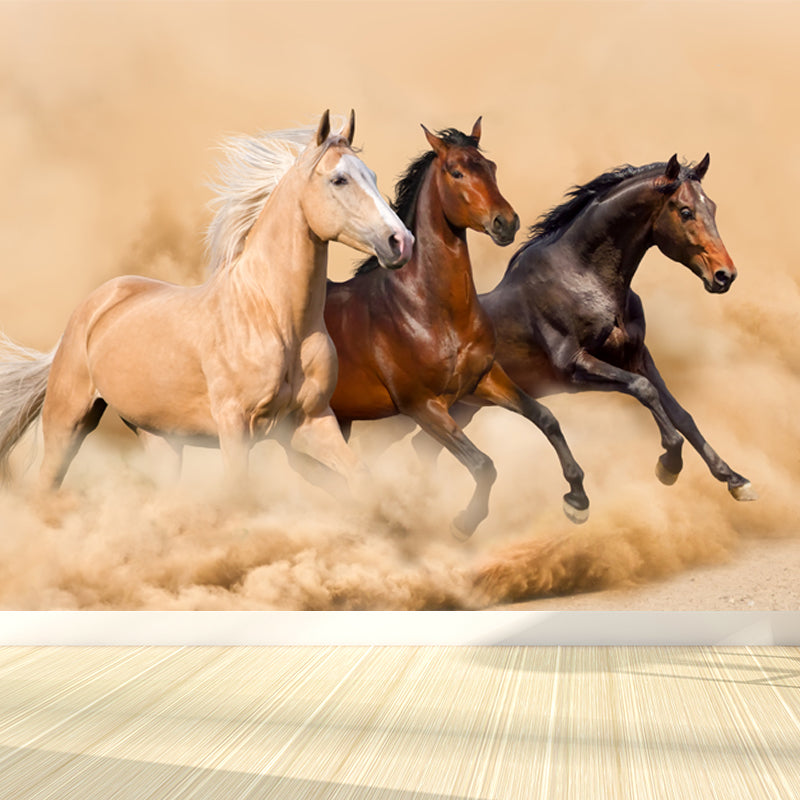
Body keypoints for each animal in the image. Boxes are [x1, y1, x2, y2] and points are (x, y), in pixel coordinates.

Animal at [0, 110, 414, 496]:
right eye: (339, 179)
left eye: (373, 175)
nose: (401, 241)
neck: (275, 319)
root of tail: (94, 305)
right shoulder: (235, 425)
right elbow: (240, 491)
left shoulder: (312, 422)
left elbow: (360, 476)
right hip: (68, 421)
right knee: (47, 483)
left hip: (160, 438)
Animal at [324, 119, 590, 539]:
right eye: (456, 172)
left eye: (491, 167)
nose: (505, 222)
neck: (430, 311)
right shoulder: (423, 406)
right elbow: (483, 464)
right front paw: (464, 522)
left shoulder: (483, 380)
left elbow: (546, 418)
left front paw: (577, 499)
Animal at [431, 154, 755, 502]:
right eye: (685, 211)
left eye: (713, 207)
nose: (725, 275)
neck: (585, 278)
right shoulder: (575, 367)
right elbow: (644, 390)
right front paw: (669, 463)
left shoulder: (636, 356)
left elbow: (681, 414)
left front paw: (735, 479)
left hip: (463, 409)